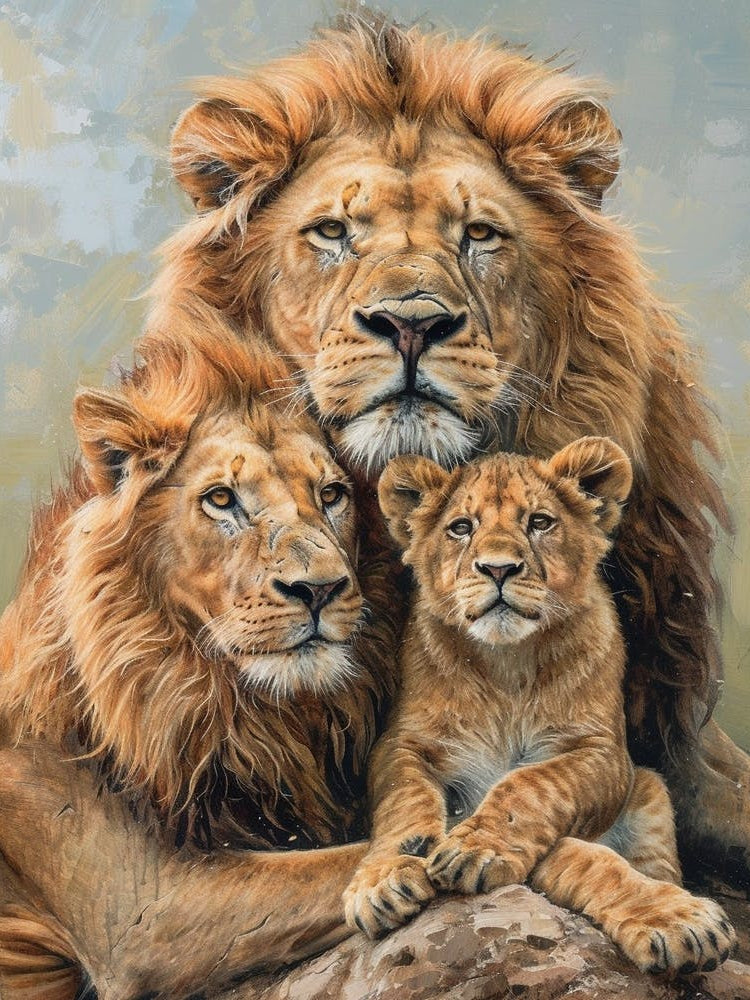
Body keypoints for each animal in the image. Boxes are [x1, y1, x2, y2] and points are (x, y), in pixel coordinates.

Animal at [343, 438, 736, 973]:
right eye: (461, 527)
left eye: (540, 522)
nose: (498, 569)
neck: (507, 664)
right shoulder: (401, 743)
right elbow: (403, 800)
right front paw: (382, 878)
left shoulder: (602, 753)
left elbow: (531, 786)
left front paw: (477, 848)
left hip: (651, 791)